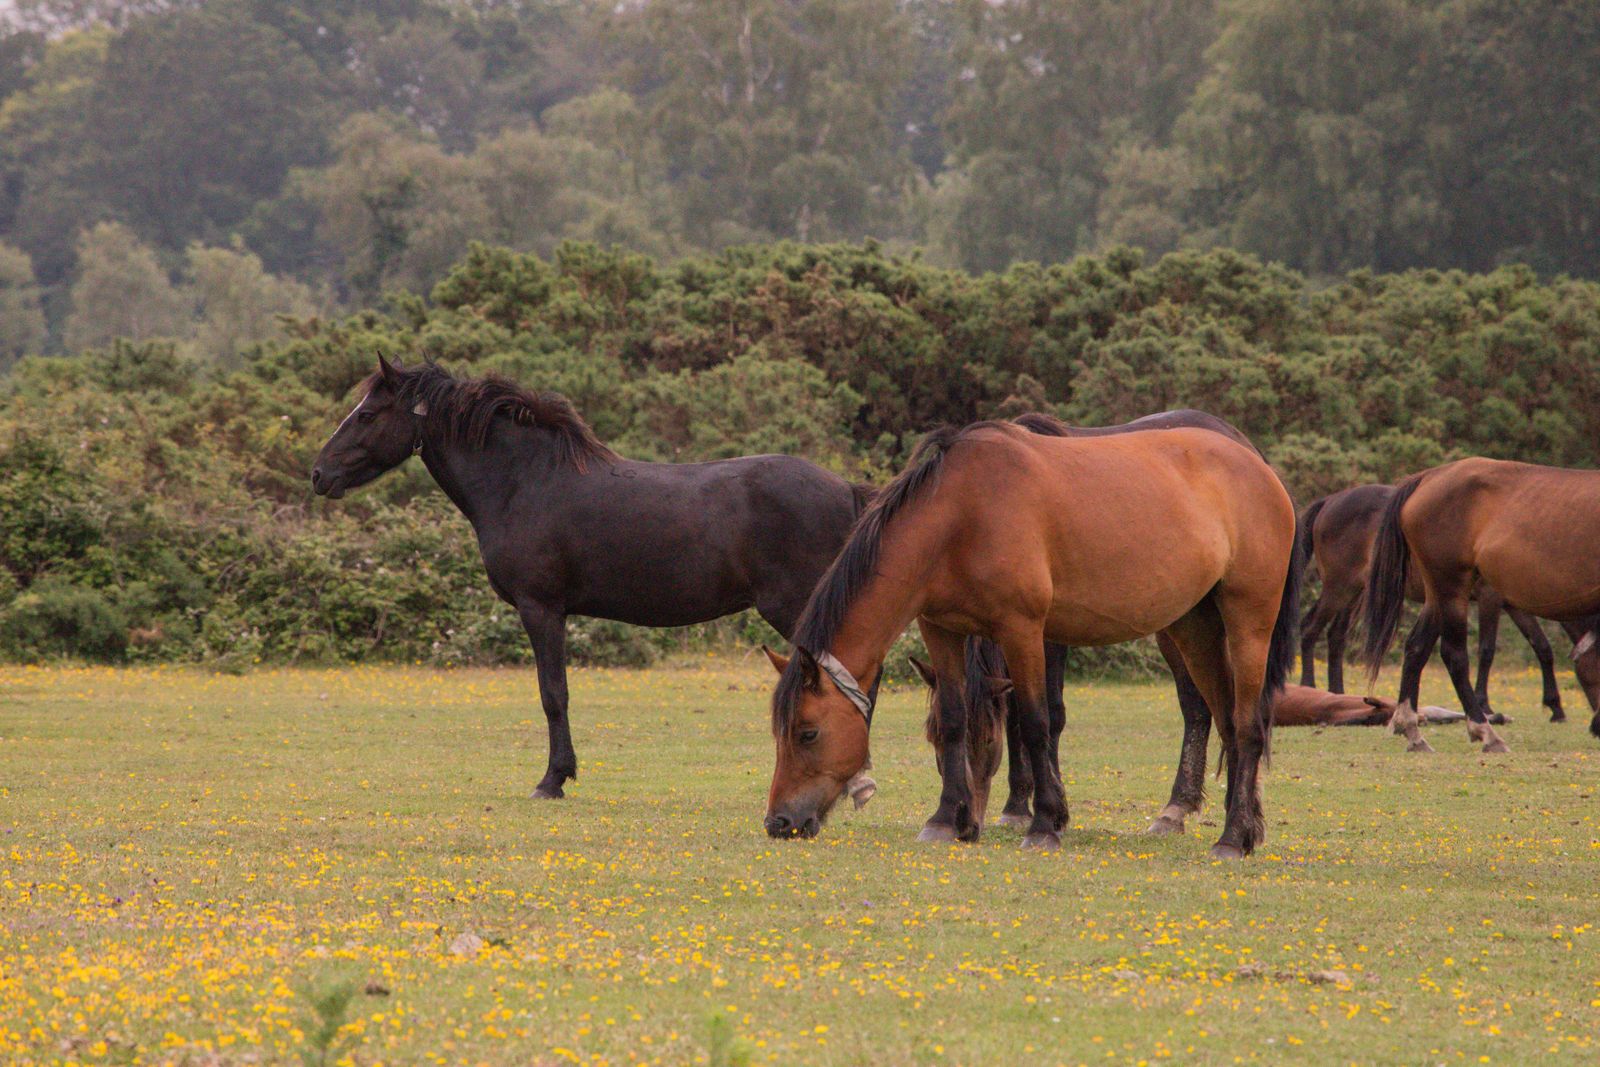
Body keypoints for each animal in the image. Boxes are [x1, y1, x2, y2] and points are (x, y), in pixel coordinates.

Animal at [312, 356, 881, 801]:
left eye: (367, 413)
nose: (319, 474)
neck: (524, 481)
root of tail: (845, 490)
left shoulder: (541, 608)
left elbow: (553, 693)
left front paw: (552, 780)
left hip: (798, 608)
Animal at [763, 418, 1301, 859]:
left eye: (808, 732)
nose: (778, 822)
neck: (961, 514)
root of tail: (1259, 467)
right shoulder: (942, 630)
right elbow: (956, 717)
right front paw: (946, 820)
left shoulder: (1022, 630)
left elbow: (1036, 722)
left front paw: (1044, 823)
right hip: (1194, 628)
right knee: (1227, 722)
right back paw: (1246, 828)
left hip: (1248, 623)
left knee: (1247, 726)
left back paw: (1231, 839)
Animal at [1298, 483, 1589, 721]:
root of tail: (1331, 501)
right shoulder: (1490, 598)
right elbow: (1487, 650)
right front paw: (1484, 703)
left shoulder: (1514, 606)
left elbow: (1542, 646)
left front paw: (1555, 707)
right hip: (1339, 588)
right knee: (1310, 628)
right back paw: (1309, 686)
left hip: (1354, 592)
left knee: (1336, 635)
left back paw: (1336, 692)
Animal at [1363, 457, 1600, 751]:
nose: (1596, 726)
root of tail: (1427, 477)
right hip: (1451, 590)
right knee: (1454, 655)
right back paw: (1485, 731)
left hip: (1438, 595)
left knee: (1416, 648)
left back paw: (1412, 730)